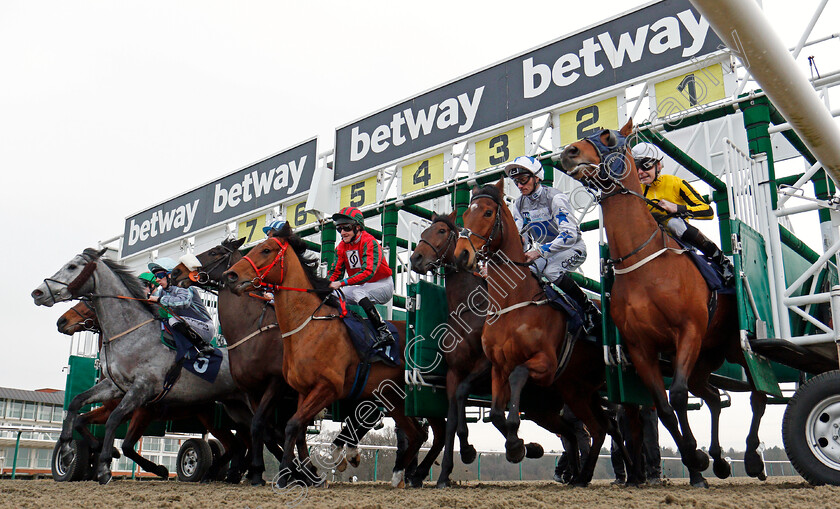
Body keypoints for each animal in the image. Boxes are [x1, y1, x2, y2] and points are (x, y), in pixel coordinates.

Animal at [32, 248, 253, 482]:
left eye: (72, 267)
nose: (38, 293)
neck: (132, 334)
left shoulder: (142, 394)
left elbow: (116, 424)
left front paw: (105, 465)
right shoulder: (115, 386)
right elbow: (77, 406)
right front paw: (67, 452)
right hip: (233, 408)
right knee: (245, 440)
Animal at [452, 180, 636, 484]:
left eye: (488, 212)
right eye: (466, 214)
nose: (462, 255)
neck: (512, 303)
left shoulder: (545, 363)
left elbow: (518, 377)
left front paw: (516, 445)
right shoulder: (497, 366)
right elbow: (496, 413)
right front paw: (518, 446)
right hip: (578, 389)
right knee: (600, 427)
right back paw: (588, 475)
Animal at [556, 117, 768, 486]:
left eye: (608, 136)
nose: (569, 152)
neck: (645, 264)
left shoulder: (688, 332)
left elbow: (678, 396)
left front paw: (695, 460)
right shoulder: (642, 348)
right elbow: (666, 407)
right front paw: (696, 461)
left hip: (733, 345)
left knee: (756, 395)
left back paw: (753, 458)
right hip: (706, 356)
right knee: (713, 397)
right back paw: (718, 459)